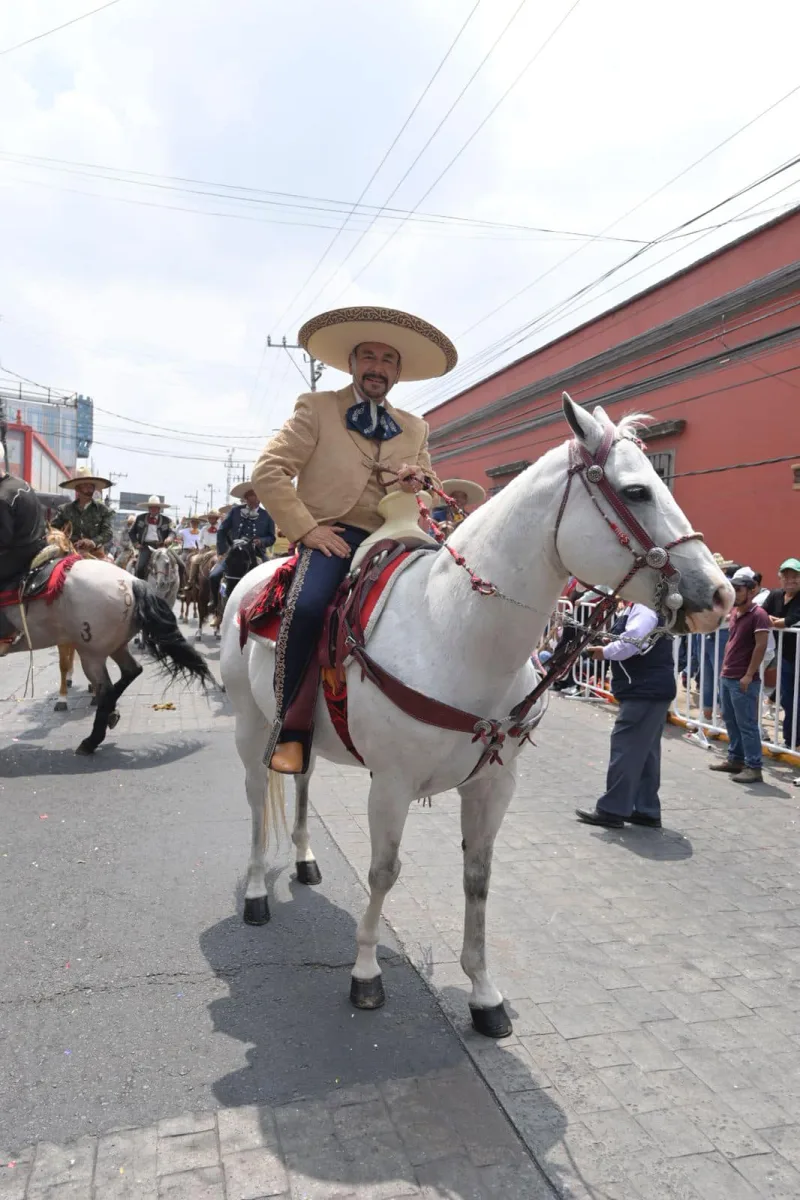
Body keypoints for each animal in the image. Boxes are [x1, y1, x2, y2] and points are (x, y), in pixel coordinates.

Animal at [219, 398, 734, 1036]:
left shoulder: (494, 783)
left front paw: (484, 994)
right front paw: (365, 972)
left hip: (300, 728)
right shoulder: (391, 785)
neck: (453, 628)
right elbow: (383, 871)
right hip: (249, 725)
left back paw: (305, 859)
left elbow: (478, 879)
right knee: (253, 796)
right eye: (637, 491)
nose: (720, 596)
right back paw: (257, 888)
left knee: (301, 780)